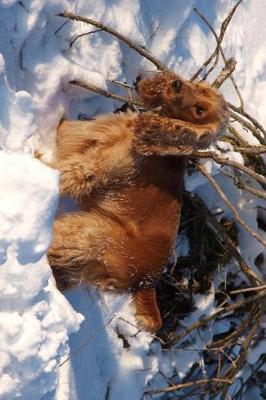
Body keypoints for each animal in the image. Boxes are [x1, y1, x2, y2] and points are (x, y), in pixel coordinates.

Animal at [46, 71, 229, 332]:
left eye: (200, 111)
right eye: (201, 90)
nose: (177, 84)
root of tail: (146, 281)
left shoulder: (94, 168)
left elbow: (66, 173)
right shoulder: (87, 131)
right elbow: (65, 129)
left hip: (91, 235)